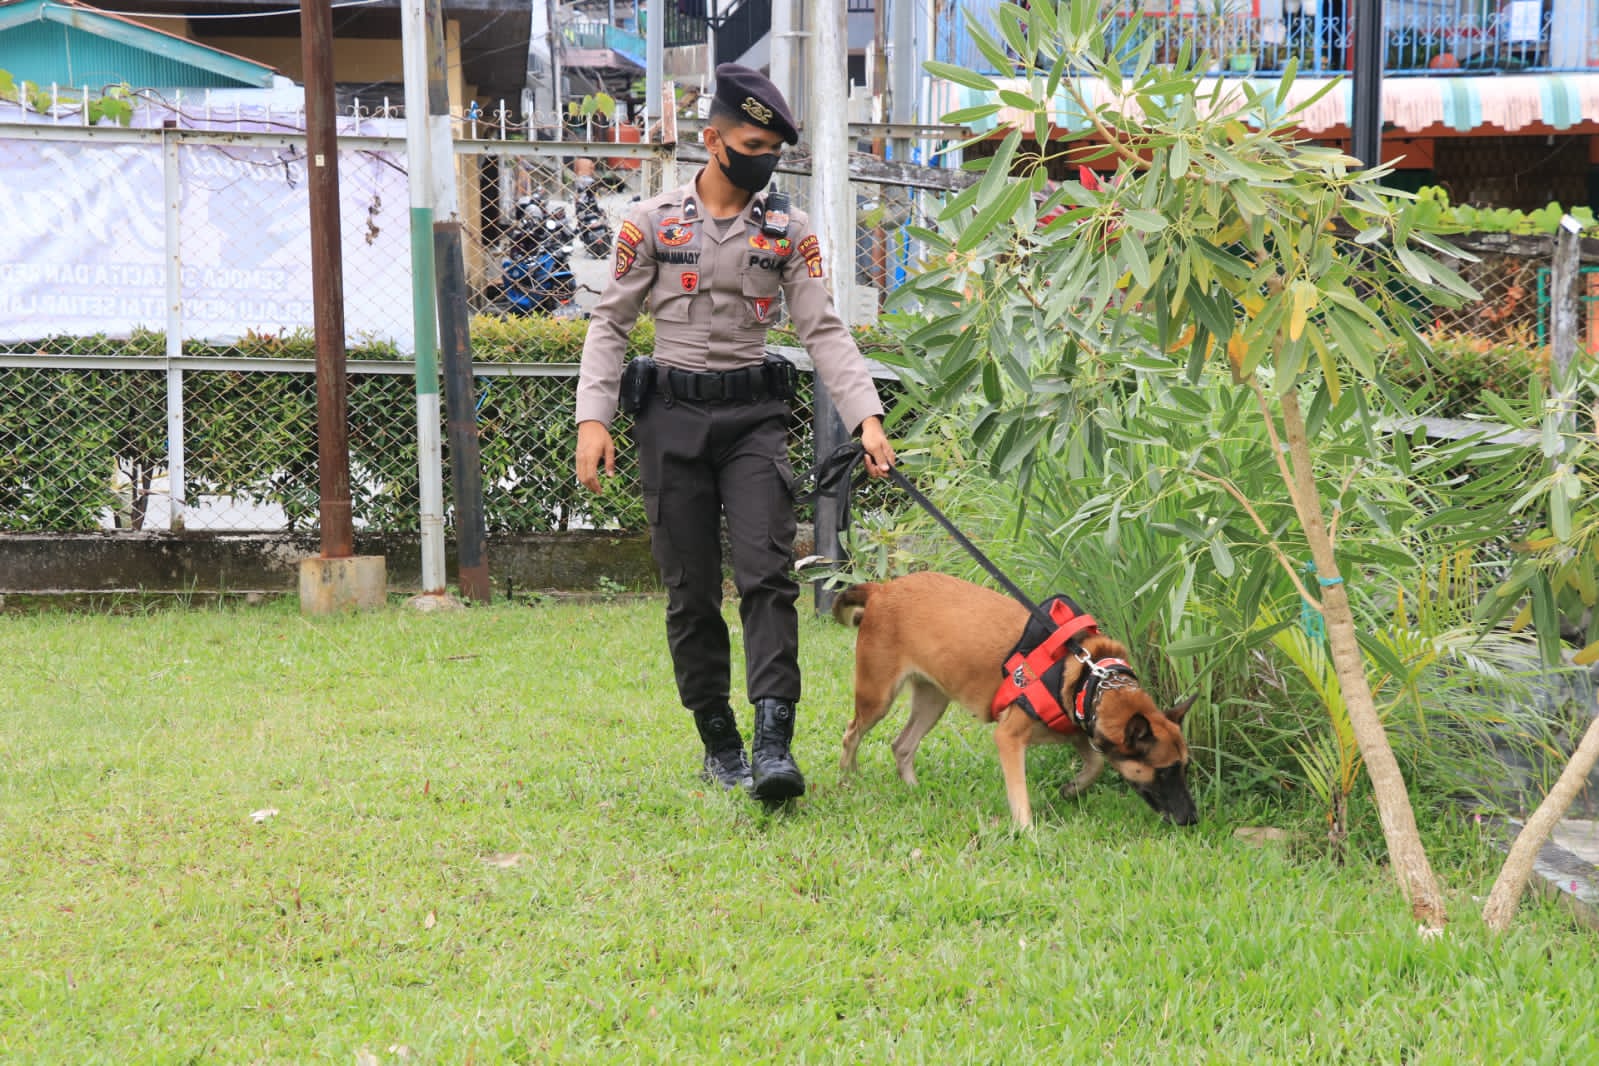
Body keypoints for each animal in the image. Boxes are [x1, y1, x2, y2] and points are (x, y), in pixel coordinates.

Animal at [832, 571, 1197, 828]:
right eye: (1164, 771)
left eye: (1185, 768)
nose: (1192, 818)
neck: (1089, 676)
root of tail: (882, 589)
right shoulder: (1009, 738)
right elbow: (1019, 794)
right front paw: (1027, 831)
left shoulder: (1077, 729)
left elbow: (1094, 764)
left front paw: (1072, 789)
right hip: (877, 698)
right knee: (852, 734)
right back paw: (848, 779)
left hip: (932, 702)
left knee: (902, 745)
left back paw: (912, 789)